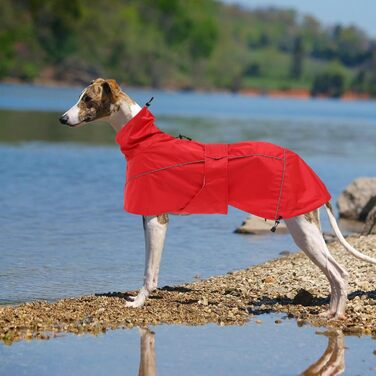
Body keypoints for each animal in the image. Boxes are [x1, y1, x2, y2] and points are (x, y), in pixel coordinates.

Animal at [60, 78, 374, 318]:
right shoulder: (150, 219)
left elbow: (150, 272)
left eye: (87, 98)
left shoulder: (156, 220)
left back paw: (336, 316)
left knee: (340, 273)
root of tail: (308, 169)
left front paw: (138, 301)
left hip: (303, 230)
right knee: (335, 274)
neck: (145, 141)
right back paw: (331, 312)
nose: (62, 119)